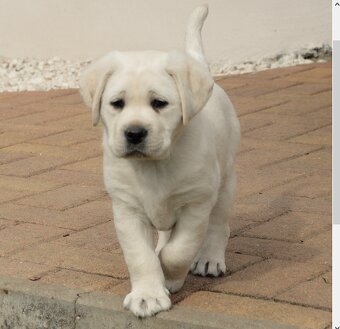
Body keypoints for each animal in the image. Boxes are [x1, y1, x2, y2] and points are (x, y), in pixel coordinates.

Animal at [79, 5, 239, 316]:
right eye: (117, 103)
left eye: (159, 103)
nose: (134, 133)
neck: (154, 165)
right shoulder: (126, 208)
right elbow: (141, 256)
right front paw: (148, 294)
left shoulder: (196, 203)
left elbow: (179, 250)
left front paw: (170, 276)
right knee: (166, 235)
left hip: (225, 180)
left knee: (218, 225)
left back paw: (210, 259)